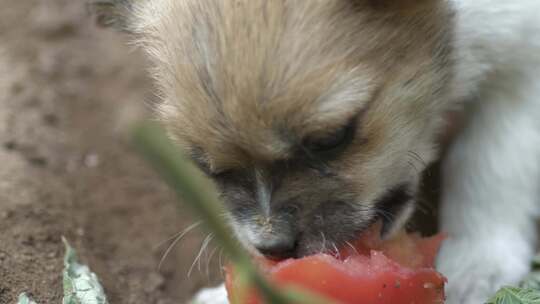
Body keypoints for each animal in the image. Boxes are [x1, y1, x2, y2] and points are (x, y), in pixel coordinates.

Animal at [90, 1, 540, 302]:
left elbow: (491, 162)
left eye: (332, 138)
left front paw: (478, 261)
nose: (273, 247)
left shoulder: (522, 68)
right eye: (203, 165)